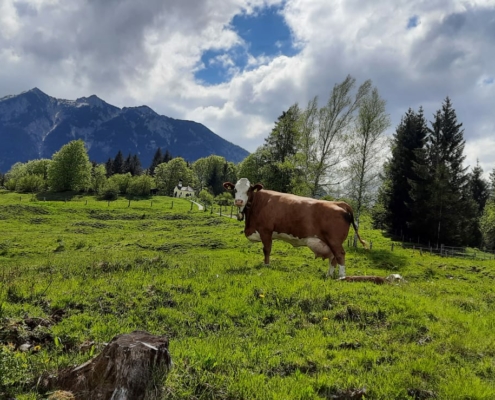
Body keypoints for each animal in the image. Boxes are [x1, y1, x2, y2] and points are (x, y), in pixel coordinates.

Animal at [223, 178, 366, 278]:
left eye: (248, 190)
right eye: (235, 190)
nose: (239, 201)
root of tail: (340, 203)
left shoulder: (266, 231)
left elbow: (267, 249)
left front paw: (266, 265)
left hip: (334, 241)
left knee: (340, 255)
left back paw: (341, 277)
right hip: (330, 242)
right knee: (333, 258)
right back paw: (328, 275)